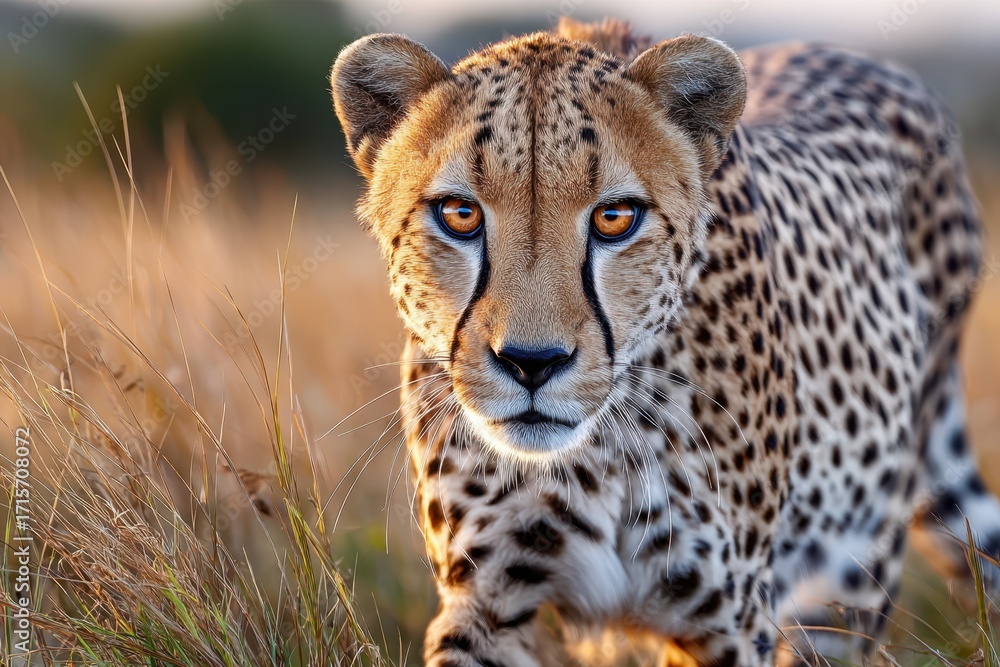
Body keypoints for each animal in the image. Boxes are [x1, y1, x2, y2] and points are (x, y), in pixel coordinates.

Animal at [330, 17, 997, 667]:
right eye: (459, 214)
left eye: (615, 218)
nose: (531, 364)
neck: (595, 454)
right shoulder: (488, 603)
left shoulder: (727, 622)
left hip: (845, 586)